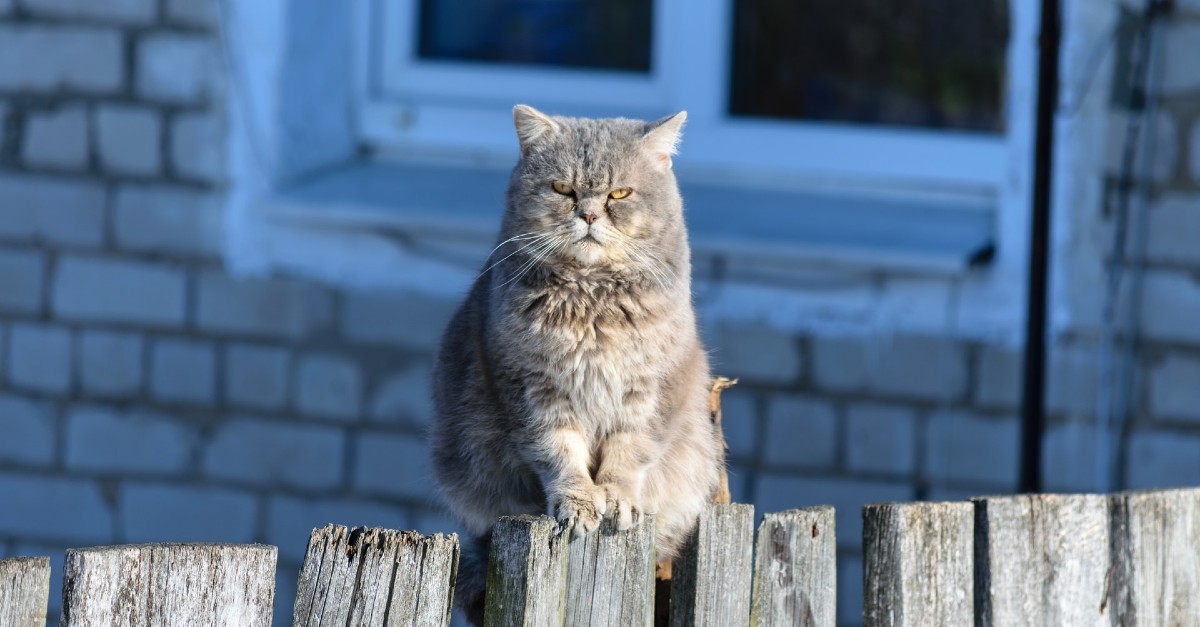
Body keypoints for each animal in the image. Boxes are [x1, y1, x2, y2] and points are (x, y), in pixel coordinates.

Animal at [432, 105, 720, 614]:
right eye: (562, 189)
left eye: (619, 193)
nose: (587, 213)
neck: (592, 298)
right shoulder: (533, 392)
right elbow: (559, 454)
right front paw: (579, 502)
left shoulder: (650, 393)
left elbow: (629, 453)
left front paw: (616, 497)